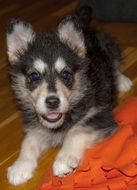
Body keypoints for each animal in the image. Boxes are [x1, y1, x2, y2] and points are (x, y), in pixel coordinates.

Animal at [5, 6, 132, 186]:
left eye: (66, 74)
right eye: (34, 76)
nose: (52, 102)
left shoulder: (100, 115)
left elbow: (76, 131)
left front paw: (63, 160)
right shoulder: (35, 125)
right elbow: (28, 141)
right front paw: (20, 166)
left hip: (109, 46)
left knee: (115, 65)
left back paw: (122, 81)